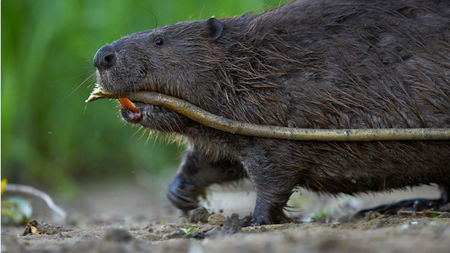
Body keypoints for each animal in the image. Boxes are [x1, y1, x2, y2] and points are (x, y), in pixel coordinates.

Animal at [92, 0, 450, 225]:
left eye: (159, 40)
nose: (101, 56)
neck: (254, 64)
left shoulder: (280, 125)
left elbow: (273, 176)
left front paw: (253, 219)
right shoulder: (232, 128)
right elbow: (214, 162)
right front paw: (181, 195)